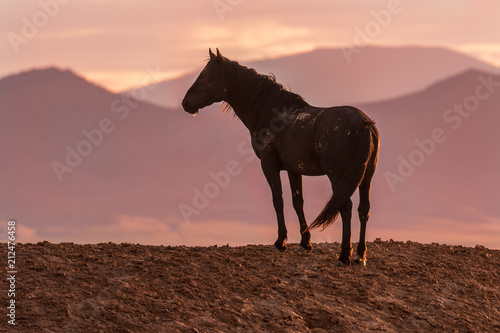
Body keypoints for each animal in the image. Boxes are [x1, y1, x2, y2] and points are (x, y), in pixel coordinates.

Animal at [183, 48, 378, 264]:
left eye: (206, 75)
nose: (186, 103)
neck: (270, 115)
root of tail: (364, 123)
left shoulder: (269, 165)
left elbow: (278, 200)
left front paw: (280, 242)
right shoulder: (294, 170)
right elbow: (297, 202)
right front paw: (305, 243)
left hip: (339, 177)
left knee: (346, 208)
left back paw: (344, 255)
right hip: (365, 177)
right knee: (363, 209)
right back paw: (360, 255)